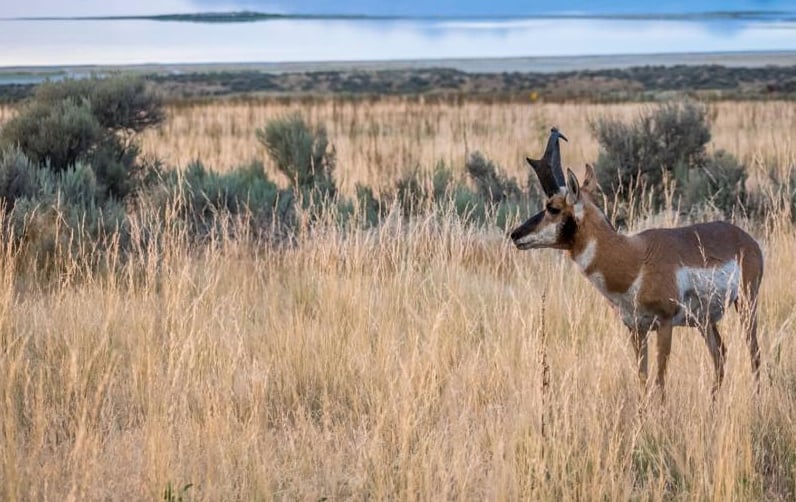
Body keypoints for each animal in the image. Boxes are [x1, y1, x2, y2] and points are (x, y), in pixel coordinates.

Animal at [510, 128, 763, 398]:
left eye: (553, 208)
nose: (515, 235)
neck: (634, 258)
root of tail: (746, 239)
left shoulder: (664, 324)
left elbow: (660, 383)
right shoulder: (636, 329)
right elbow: (642, 379)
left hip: (746, 304)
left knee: (754, 353)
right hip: (704, 321)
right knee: (720, 354)